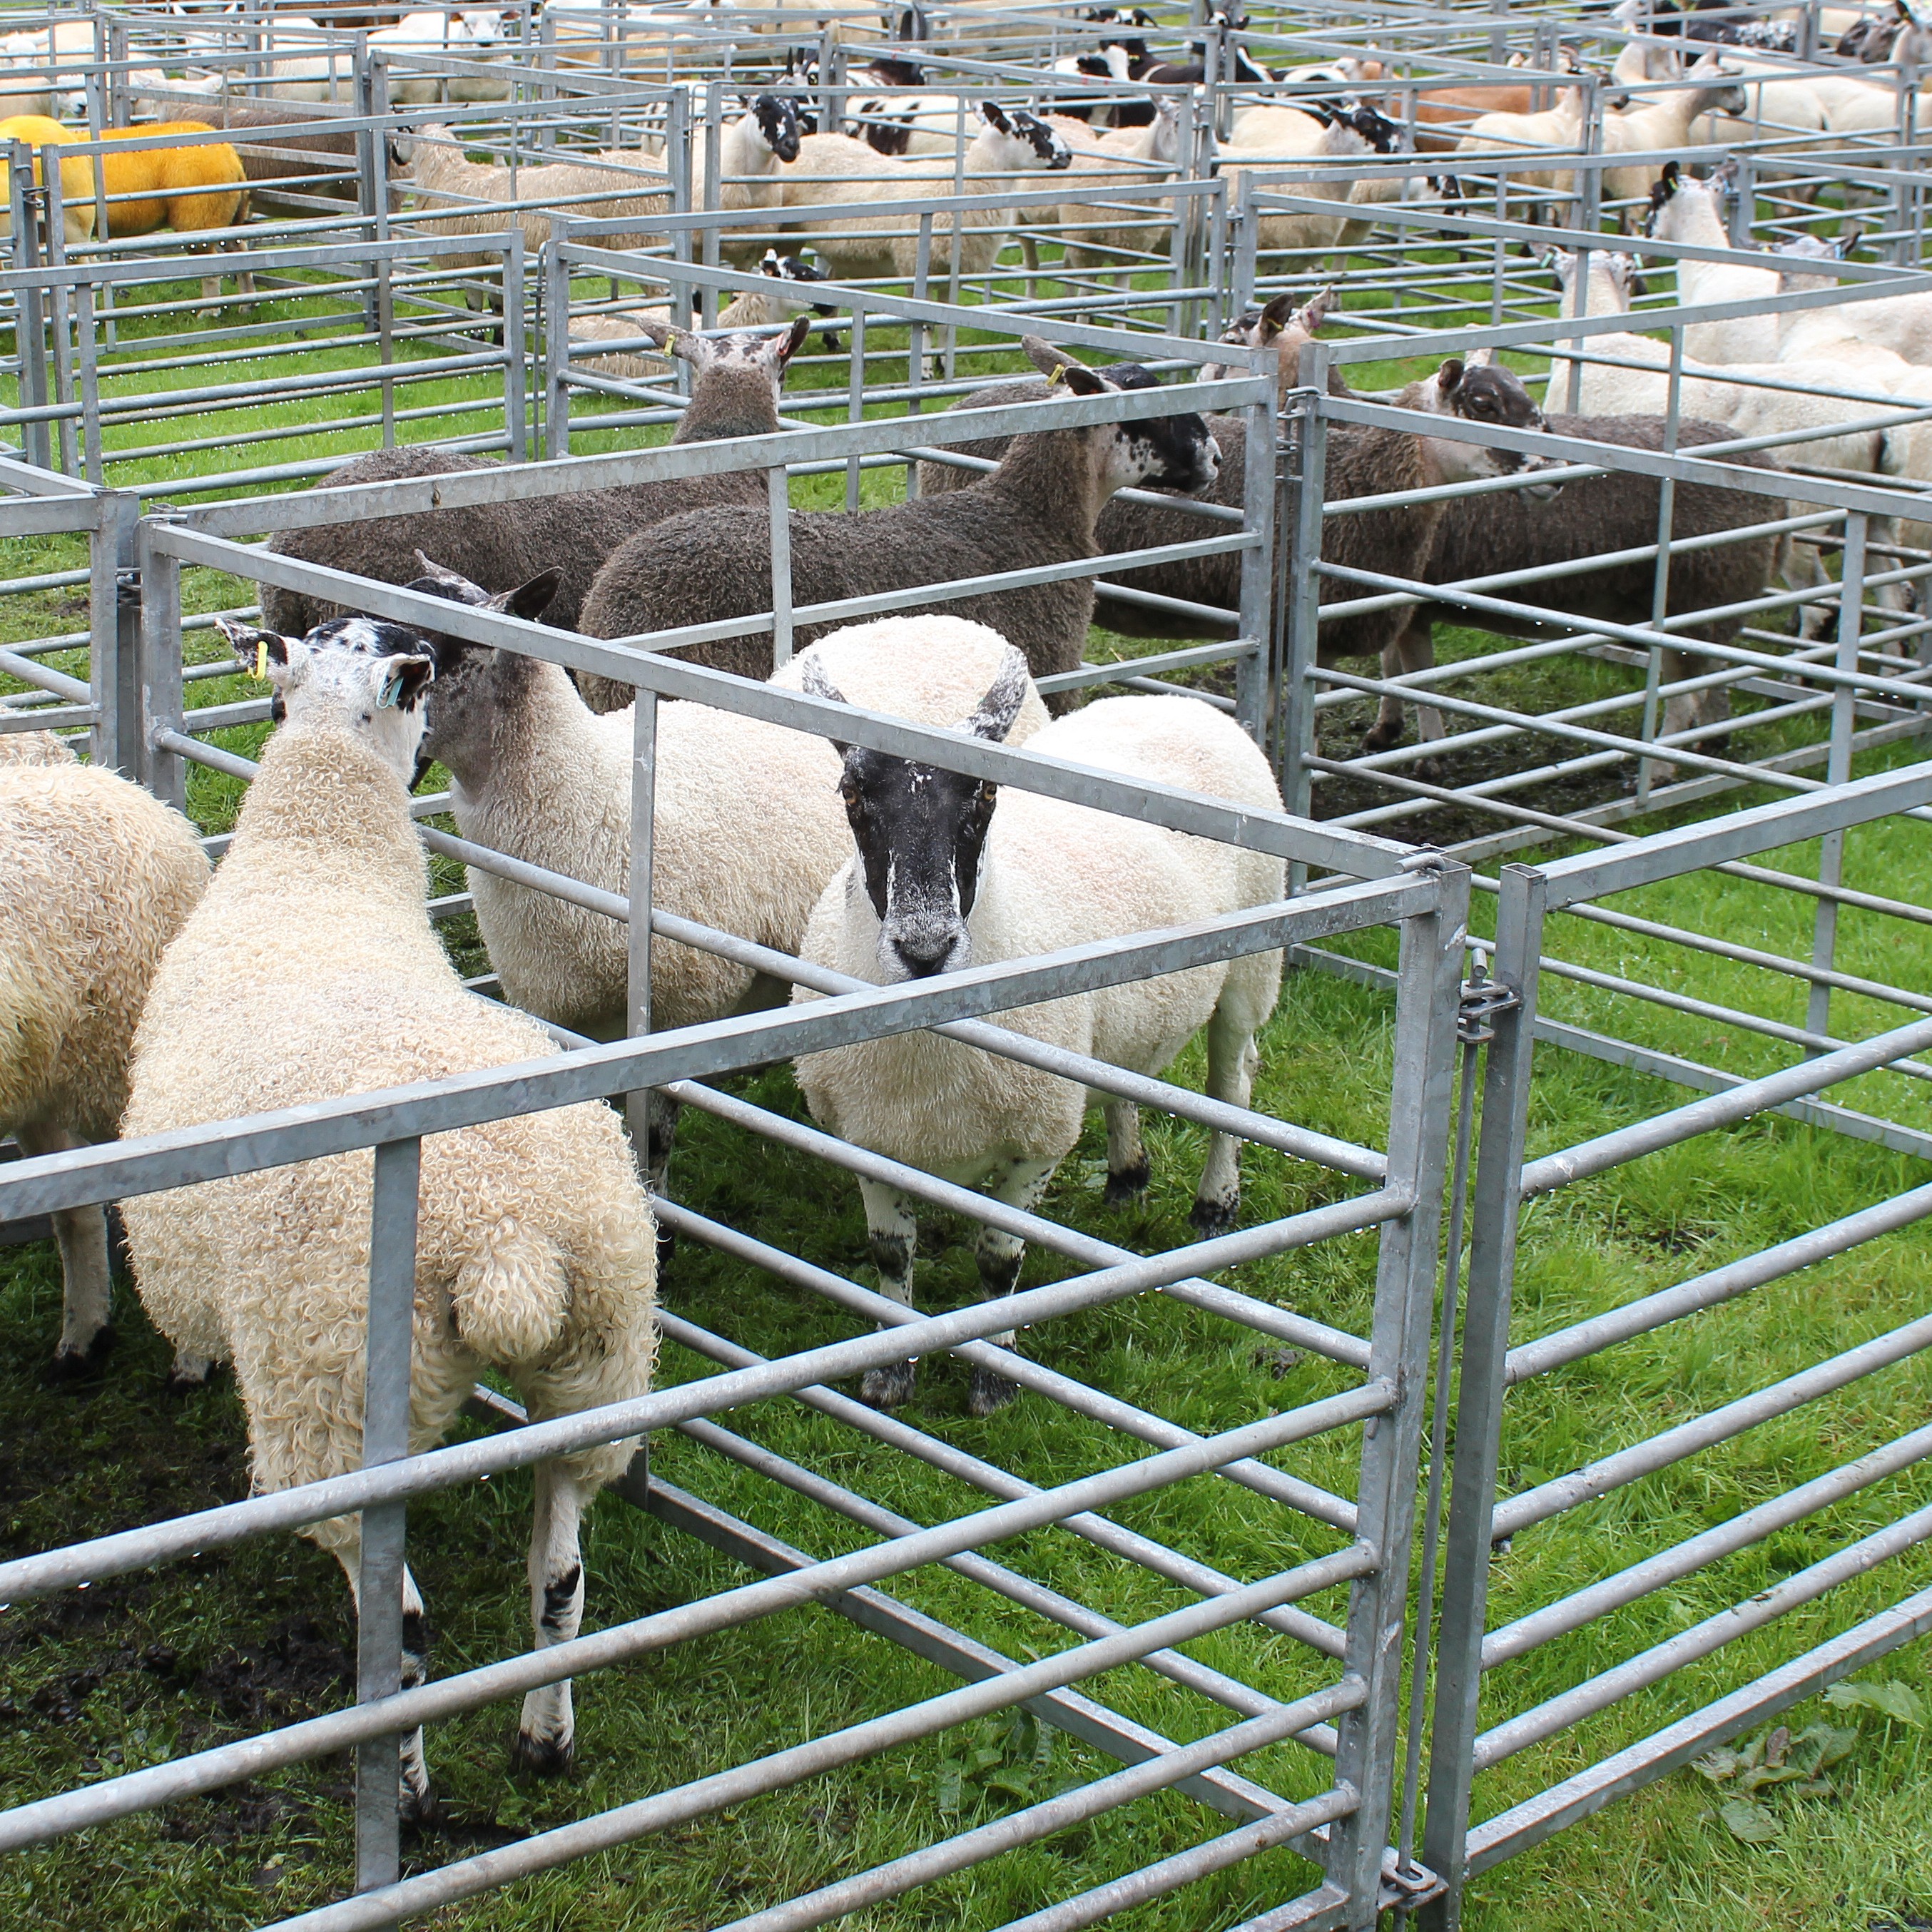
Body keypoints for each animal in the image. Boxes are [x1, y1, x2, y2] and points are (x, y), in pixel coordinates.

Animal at [121, 621, 658, 1808]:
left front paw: (185, 1367)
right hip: (594, 1361)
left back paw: (405, 1791)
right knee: (560, 1578)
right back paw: (543, 1740)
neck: (317, 857)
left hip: (331, 1402)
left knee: (400, 1629)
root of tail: (505, 1241)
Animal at [405, 559, 1046, 1197]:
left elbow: (651, 1144)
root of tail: (953, 621)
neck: (586, 790)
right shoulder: (565, 1017)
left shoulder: (671, 1019)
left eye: (437, 650)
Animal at [792, 664, 1285, 1415]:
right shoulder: (866, 1138)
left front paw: (995, 1381)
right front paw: (891, 1371)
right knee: (1123, 1080)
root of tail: (1179, 704)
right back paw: (1127, 1174)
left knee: (1233, 1080)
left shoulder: (1039, 1141)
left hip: (1253, 961)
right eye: (850, 794)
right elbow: (889, 1254)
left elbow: (999, 1266)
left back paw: (1214, 1205)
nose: (924, 950)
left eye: (989, 791)